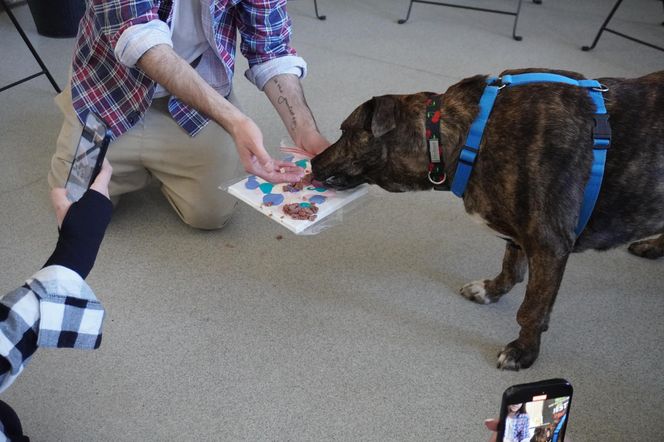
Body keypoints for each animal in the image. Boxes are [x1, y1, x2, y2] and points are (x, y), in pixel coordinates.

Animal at [312, 69, 664, 372]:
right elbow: (511, 268)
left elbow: (532, 310)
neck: (464, 136)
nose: (313, 161)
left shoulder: (548, 245)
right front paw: (491, 291)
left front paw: (523, 352)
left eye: (345, 132)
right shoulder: (519, 235)